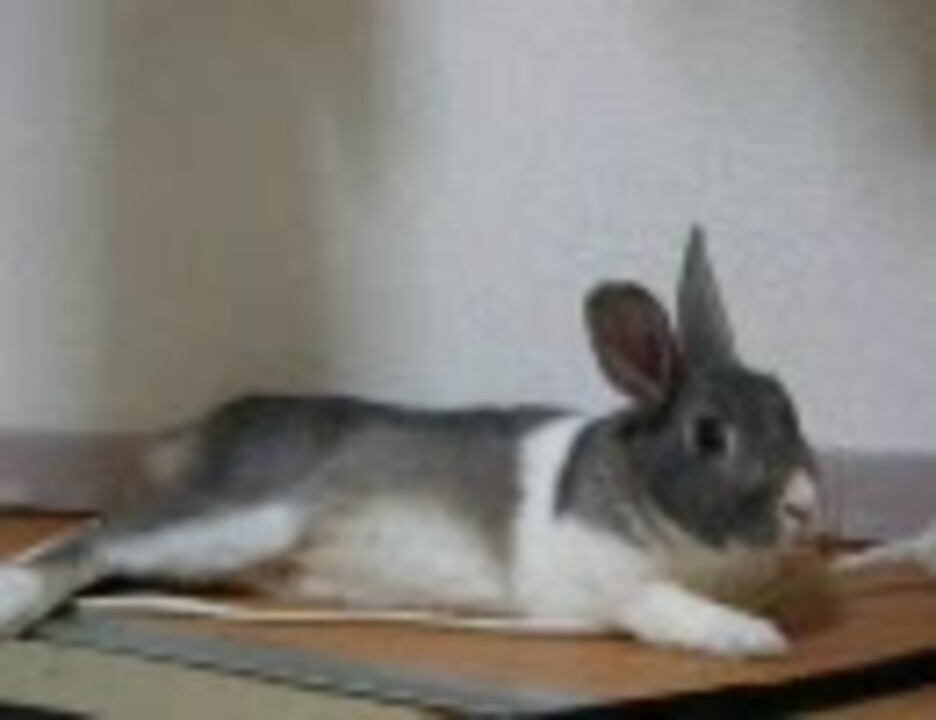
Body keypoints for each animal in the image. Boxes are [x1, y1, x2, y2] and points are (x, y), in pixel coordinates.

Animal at [0, 228, 821, 658]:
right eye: (708, 434)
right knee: (92, 539)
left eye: (788, 401)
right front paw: (755, 637)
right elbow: (662, 603)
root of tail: (197, 435)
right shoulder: (607, 582)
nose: (807, 505)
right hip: (245, 513)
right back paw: (14, 602)